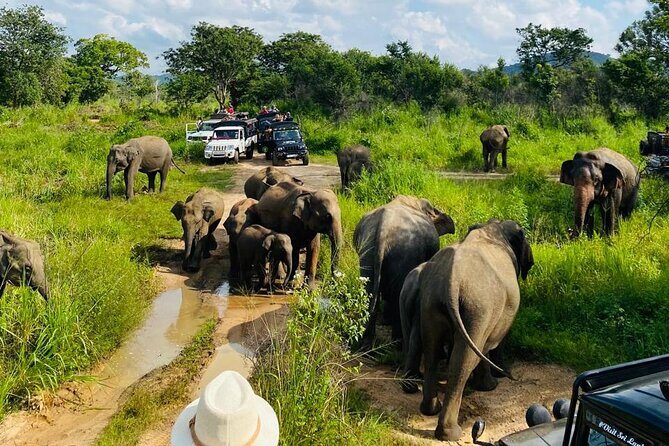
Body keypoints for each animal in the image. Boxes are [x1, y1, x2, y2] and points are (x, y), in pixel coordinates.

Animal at [353, 195, 455, 349]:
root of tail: (383, 228)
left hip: (368, 251)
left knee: (369, 290)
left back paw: (366, 344)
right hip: (403, 253)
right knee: (397, 295)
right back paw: (397, 343)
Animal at [401, 219, 533, 441]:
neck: (491, 227)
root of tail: (451, 282)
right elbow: (493, 342)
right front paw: (492, 384)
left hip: (431, 303)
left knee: (432, 349)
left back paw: (429, 409)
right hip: (478, 307)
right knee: (463, 360)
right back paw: (450, 433)